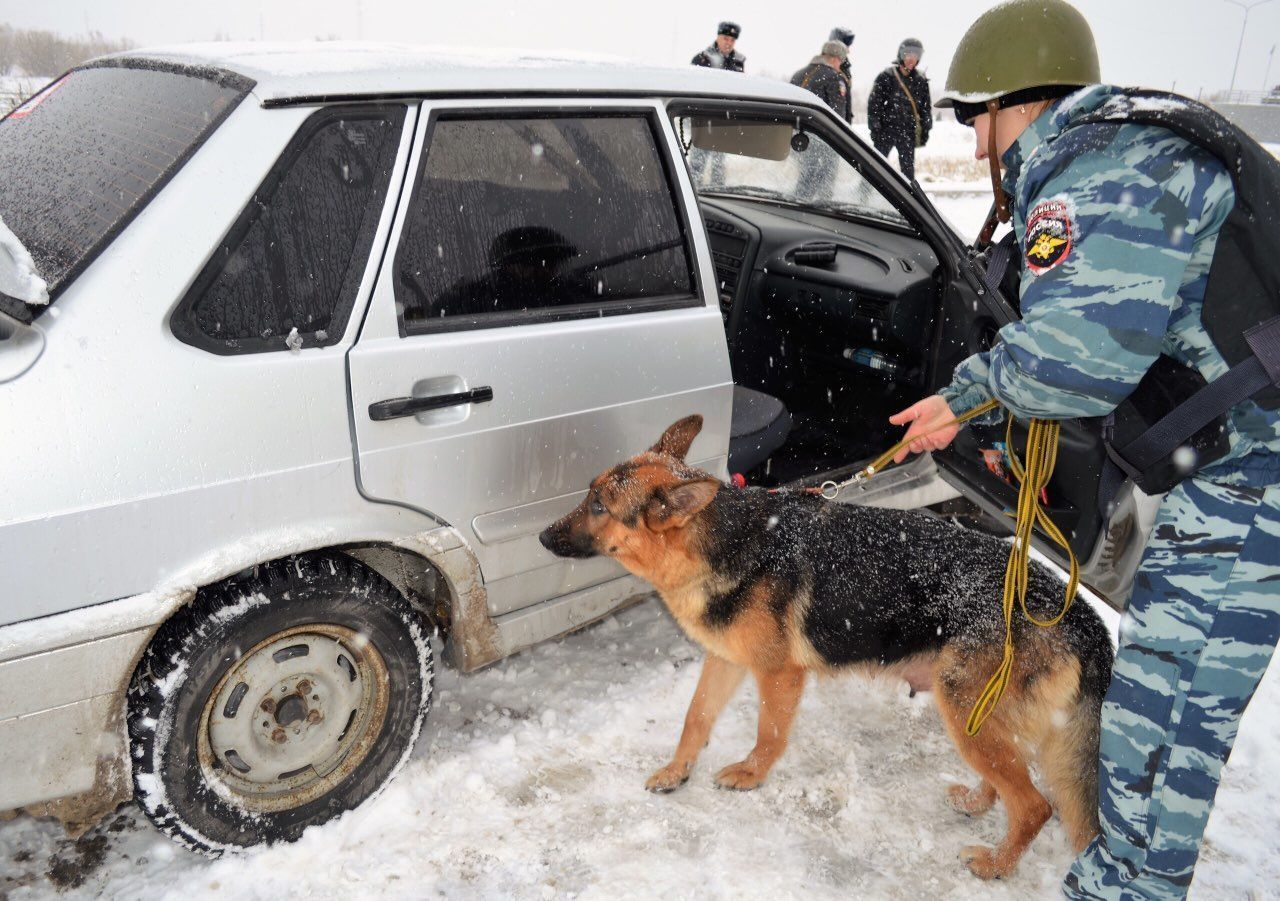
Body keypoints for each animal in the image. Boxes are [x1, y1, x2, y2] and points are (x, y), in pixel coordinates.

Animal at [545, 417, 1116, 880]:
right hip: (979, 715)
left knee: (1036, 806)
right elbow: (696, 717)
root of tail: (1085, 617)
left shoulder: (778, 674)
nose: (542, 538)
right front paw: (676, 771)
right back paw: (977, 801)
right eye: (588, 494)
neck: (728, 542)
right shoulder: (725, 660)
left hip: (963, 706)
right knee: (1012, 782)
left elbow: (769, 732)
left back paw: (996, 864)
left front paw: (750, 775)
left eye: (599, 506)